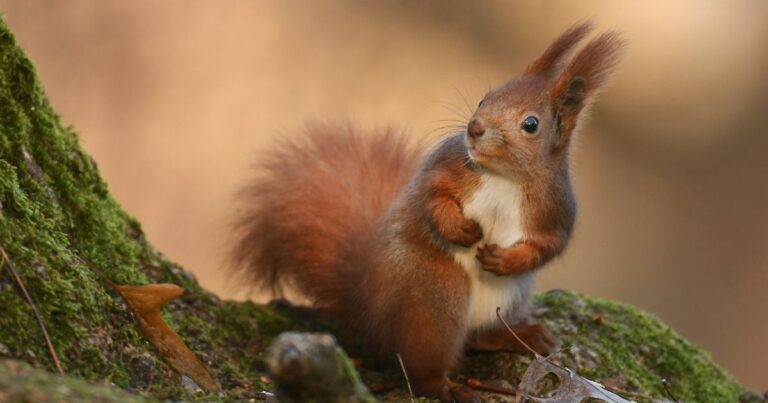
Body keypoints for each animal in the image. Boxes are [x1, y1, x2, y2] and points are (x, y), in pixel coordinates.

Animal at [232, 21, 624, 403]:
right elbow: (431, 198)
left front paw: (506, 259)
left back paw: (518, 337)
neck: (504, 177)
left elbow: (549, 246)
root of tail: (370, 311)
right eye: (485, 97)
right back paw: (447, 386)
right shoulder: (445, 166)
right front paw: (461, 230)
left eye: (531, 124)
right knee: (423, 364)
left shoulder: (556, 209)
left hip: (508, 297)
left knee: (476, 339)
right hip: (434, 300)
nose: (474, 128)